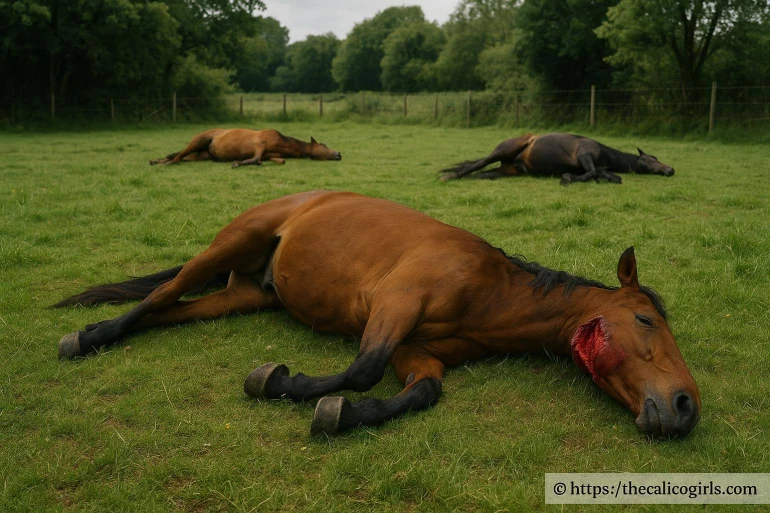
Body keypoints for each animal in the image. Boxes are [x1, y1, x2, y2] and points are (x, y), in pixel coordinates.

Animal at [54, 191, 700, 438]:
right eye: (646, 320)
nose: (684, 408)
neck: (490, 290)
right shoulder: (396, 301)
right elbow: (363, 368)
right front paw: (280, 382)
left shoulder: (419, 352)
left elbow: (422, 393)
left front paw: (342, 414)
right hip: (233, 242)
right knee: (161, 294)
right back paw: (88, 338)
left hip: (243, 295)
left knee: (168, 310)